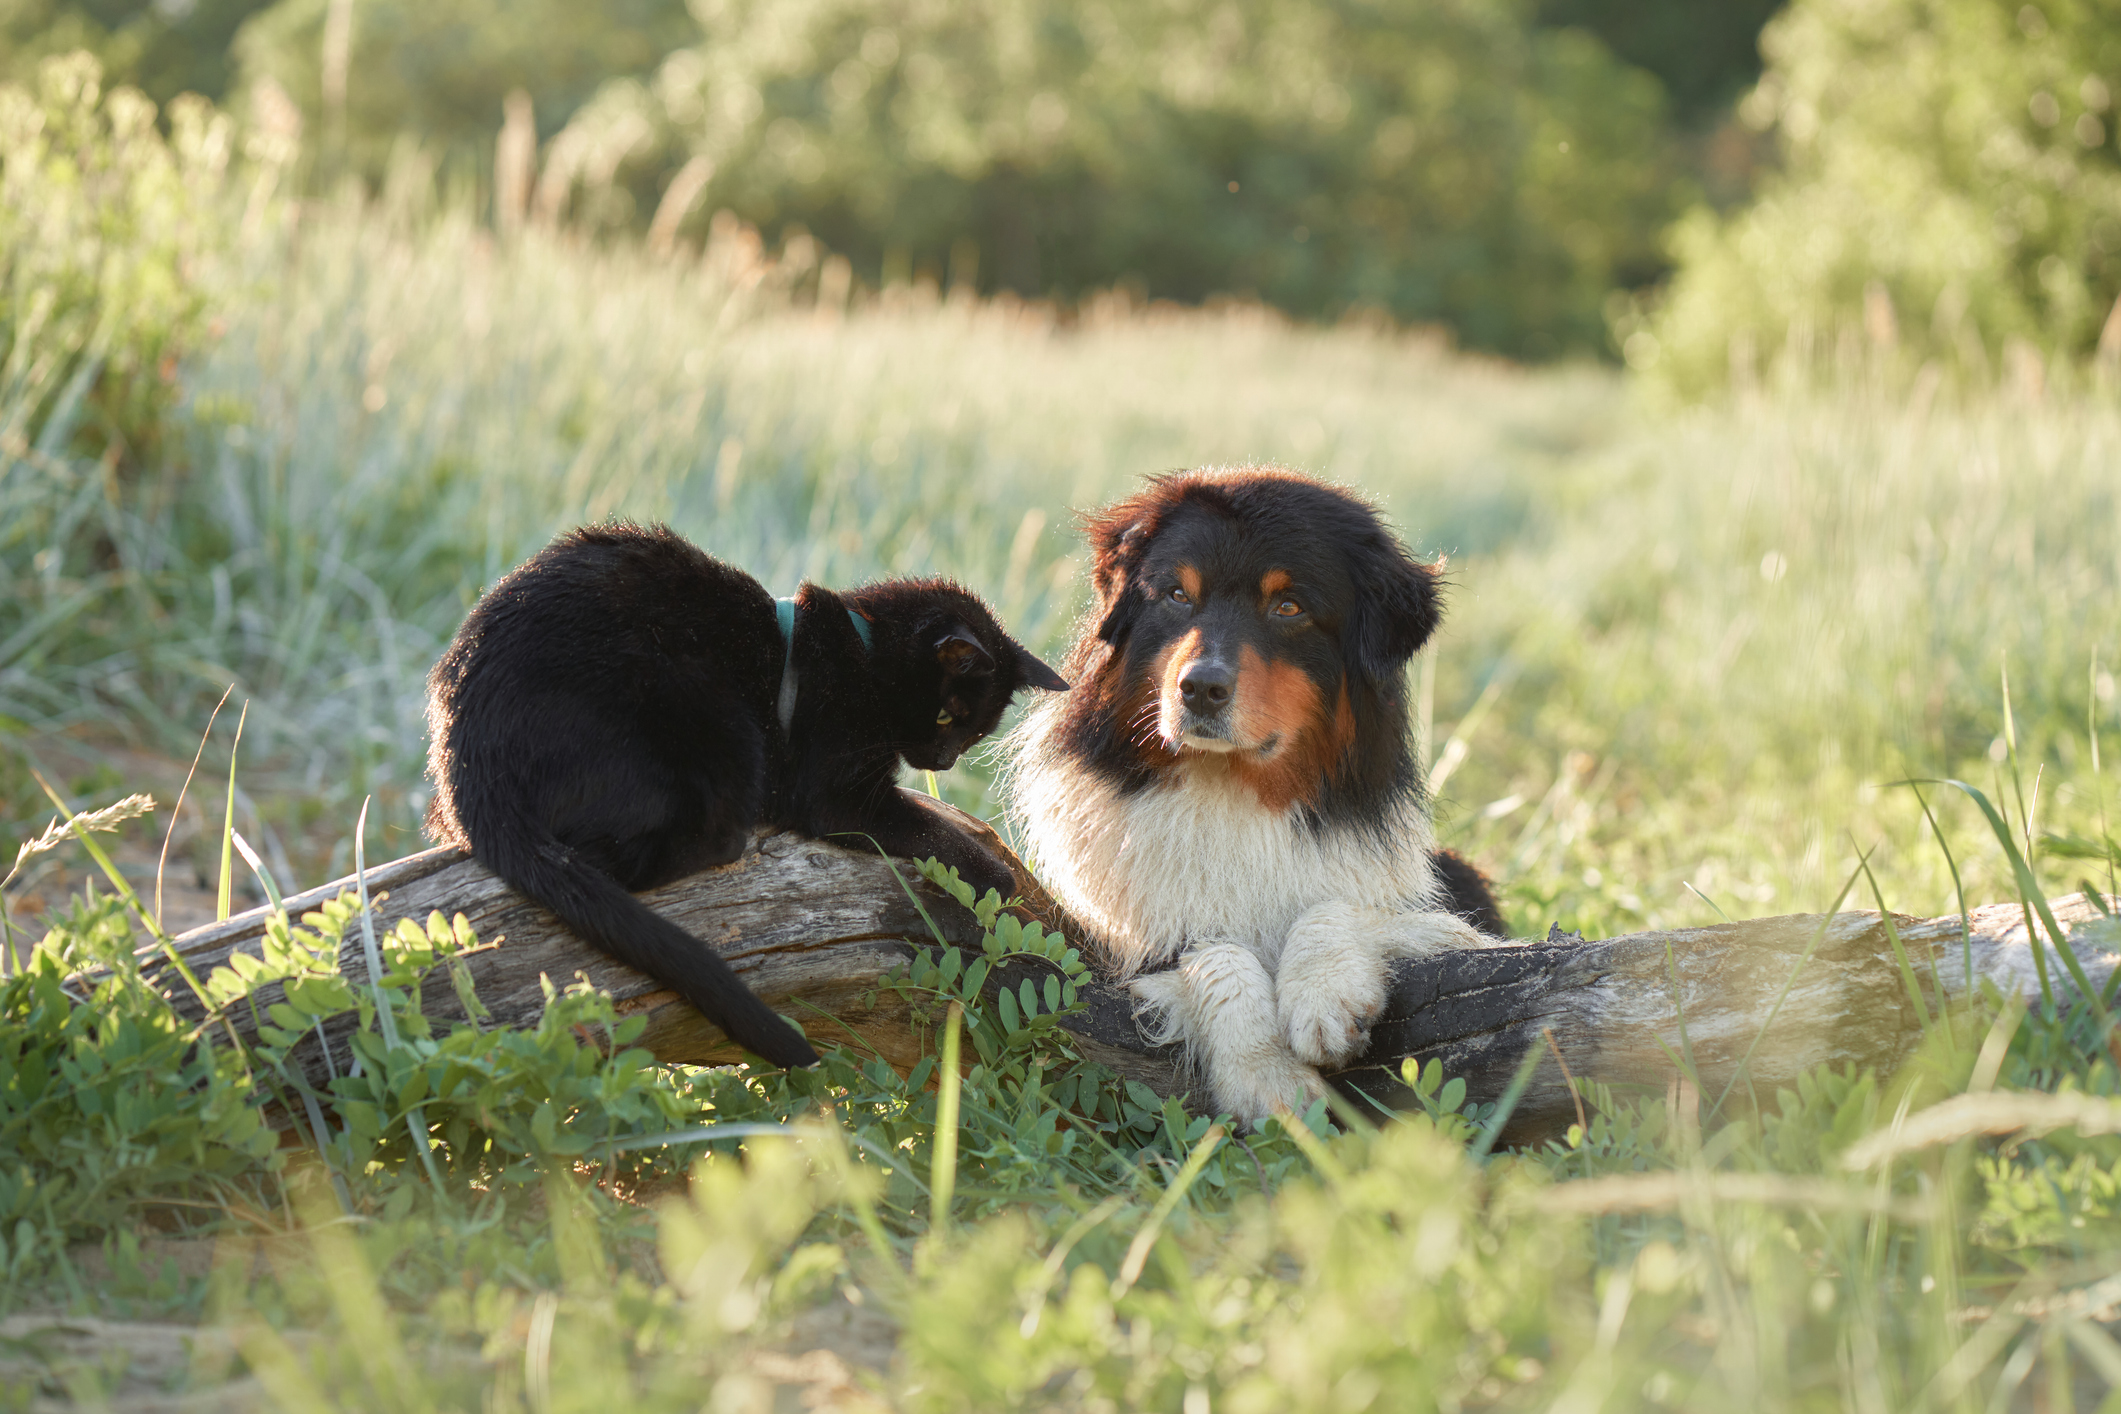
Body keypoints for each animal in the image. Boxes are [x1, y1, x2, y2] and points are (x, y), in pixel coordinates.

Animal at [422, 525, 1068, 1068]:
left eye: (975, 734)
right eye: (945, 717)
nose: (944, 761)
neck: (861, 652)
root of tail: (468, 753)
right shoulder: (839, 794)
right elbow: (929, 828)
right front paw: (997, 875)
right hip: (710, 711)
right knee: (641, 854)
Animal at [1005, 470, 1493, 1119]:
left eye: (1289, 607)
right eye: (1177, 595)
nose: (1199, 688)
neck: (1232, 786)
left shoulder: (1444, 920)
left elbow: (1335, 908)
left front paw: (1325, 996)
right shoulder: (1131, 941)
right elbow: (1215, 952)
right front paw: (1265, 1073)